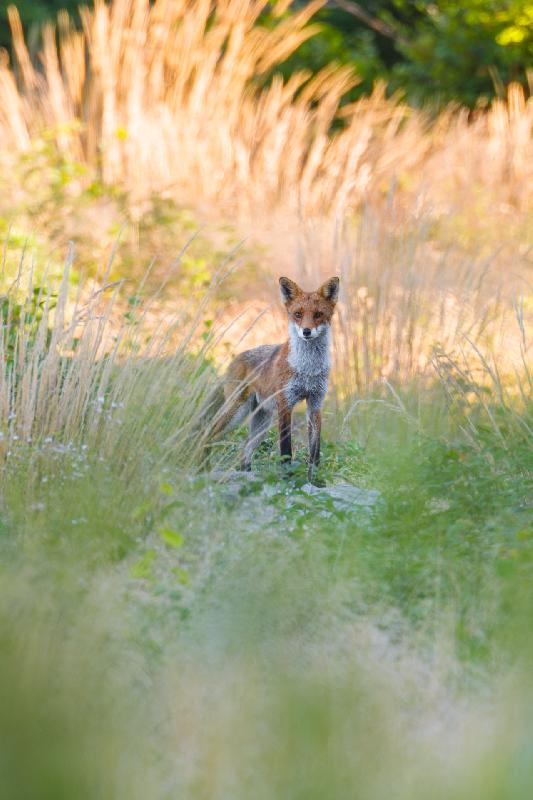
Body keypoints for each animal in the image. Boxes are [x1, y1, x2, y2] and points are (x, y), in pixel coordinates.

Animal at [207, 275, 340, 481]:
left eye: (318, 314)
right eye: (298, 314)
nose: (306, 331)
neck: (308, 369)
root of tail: (236, 358)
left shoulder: (315, 403)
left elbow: (315, 452)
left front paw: (316, 482)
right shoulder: (285, 403)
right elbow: (286, 450)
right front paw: (287, 479)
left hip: (262, 422)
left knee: (244, 452)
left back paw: (246, 476)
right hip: (237, 412)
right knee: (209, 434)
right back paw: (201, 468)